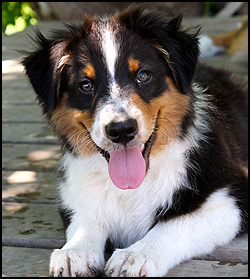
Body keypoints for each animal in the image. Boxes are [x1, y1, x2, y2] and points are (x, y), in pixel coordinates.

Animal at [22, 4, 248, 279]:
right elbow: (86, 217)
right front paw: (75, 251)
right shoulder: (73, 194)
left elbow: (173, 223)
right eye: (85, 85)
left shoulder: (232, 197)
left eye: (143, 75)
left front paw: (135, 255)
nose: (121, 130)